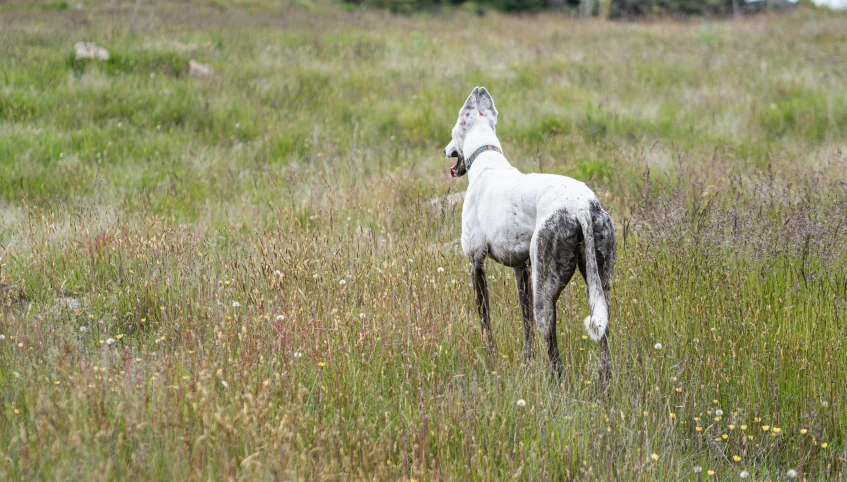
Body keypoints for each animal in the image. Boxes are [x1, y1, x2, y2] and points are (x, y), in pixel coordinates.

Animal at [444, 86, 616, 386]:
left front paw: (490, 359)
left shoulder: (476, 265)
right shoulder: (521, 269)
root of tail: (582, 205)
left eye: (453, 131)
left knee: (551, 343)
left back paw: (556, 384)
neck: (487, 162)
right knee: (602, 335)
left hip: (545, 288)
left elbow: (485, 323)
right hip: (598, 281)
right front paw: (527, 360)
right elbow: (525, 326)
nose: (444, 150)